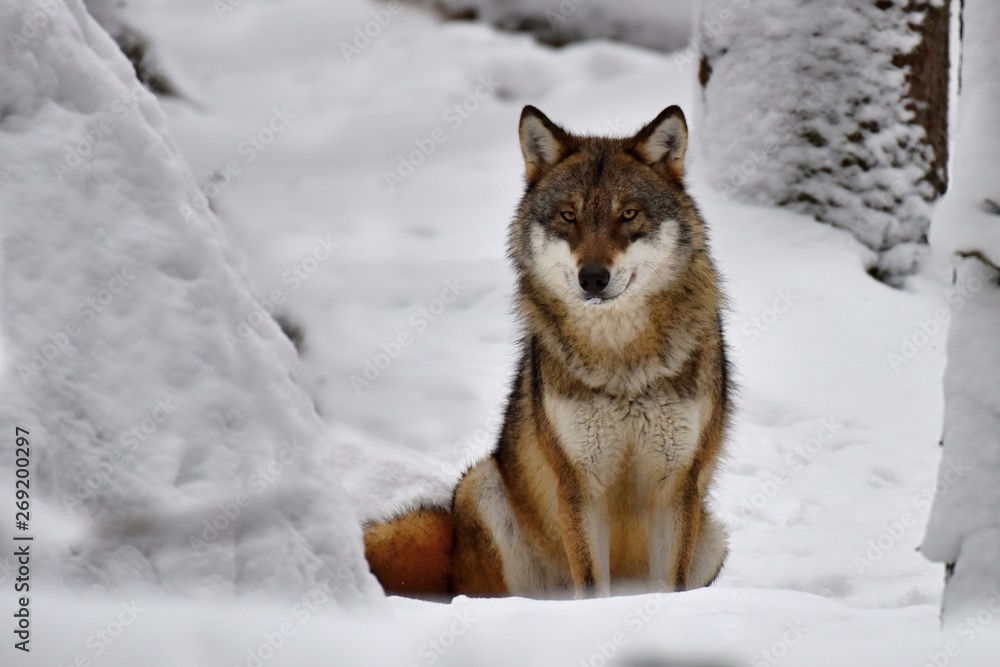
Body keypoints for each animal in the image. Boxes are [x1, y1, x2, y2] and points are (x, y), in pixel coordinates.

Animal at [364, 105, 731, 599]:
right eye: (568, 215)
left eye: (628, 214)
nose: (592, 278)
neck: (621, 362)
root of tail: (453, 553)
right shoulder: (579, 483)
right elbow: (591, 584)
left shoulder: (676, 486)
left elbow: (668, 588)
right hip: (482, 486)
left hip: (713, 537)